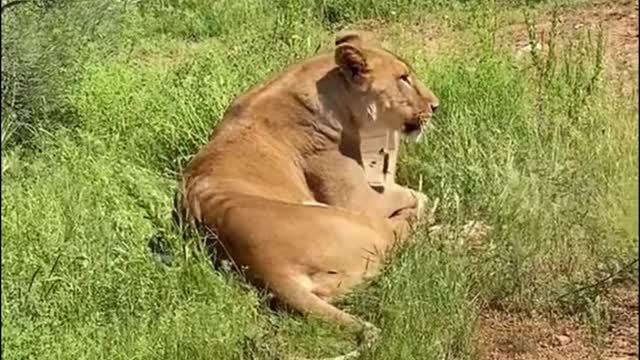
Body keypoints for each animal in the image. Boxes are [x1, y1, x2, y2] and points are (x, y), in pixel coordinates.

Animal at [179, 32, 440, 348]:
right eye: (403, 78)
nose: (436, 105)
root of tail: (268, 267)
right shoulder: (357, 199)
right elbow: (412, 193)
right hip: (357, 224)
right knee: (400, 231)